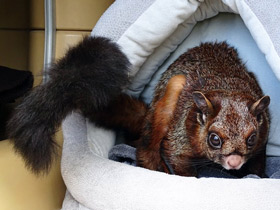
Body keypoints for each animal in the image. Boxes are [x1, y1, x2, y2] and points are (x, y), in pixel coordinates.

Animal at [7, 36, 270, 177]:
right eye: (214, 139)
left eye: (251, 138)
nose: (234, 163)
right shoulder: (181, 134)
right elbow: (176, 158)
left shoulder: (262, 140)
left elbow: (258, 163)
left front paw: (255, 175)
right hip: (168, 98)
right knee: (146, 147)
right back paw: (156, 167)